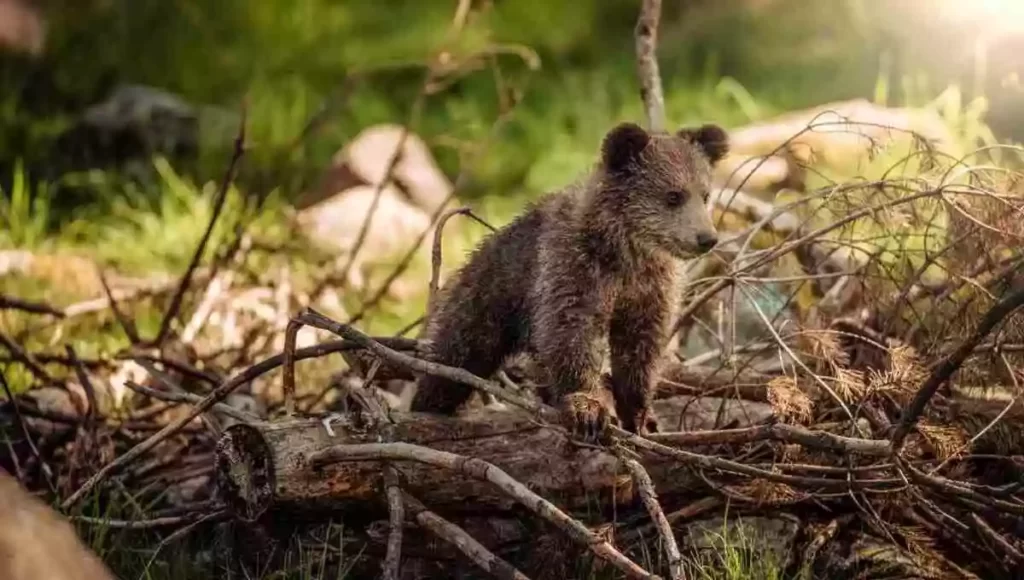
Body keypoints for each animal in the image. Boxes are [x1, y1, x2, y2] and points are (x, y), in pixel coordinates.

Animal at [409, 122, 729, 440]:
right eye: (673, 195)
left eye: (705, 194)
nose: (706, 238)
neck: (626, 252)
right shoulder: (574, 269)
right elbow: (571, 335)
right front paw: (587, 410)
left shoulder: (649, 289)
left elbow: (639, 348)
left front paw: (641, 416)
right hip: (487, 298)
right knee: (455, 356)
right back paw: (428, 404)